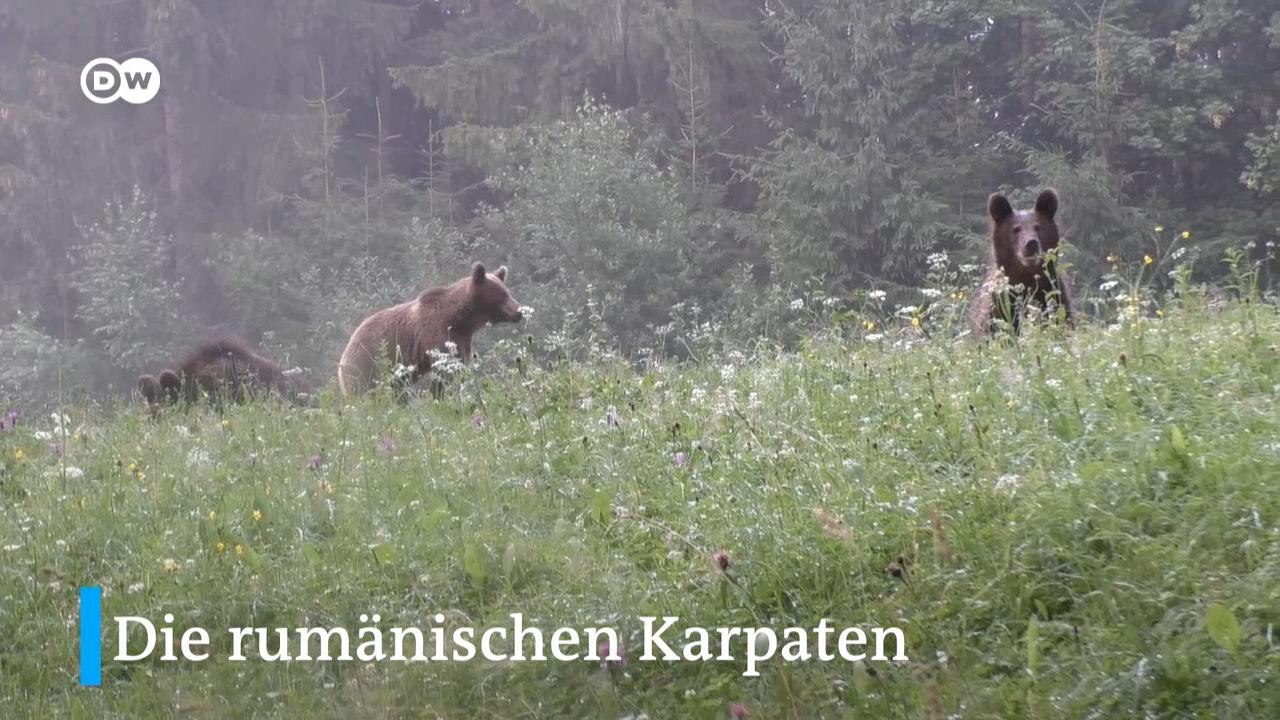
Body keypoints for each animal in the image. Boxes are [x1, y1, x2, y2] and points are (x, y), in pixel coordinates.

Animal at [337, 262, 524, 397]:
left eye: (508, 292)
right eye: (502, 295)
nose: (519, 311)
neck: (460, 319)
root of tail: (346, 350)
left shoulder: (461, 339)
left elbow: (458, 364)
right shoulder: (436, 335)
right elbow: (443, 372)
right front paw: (439, 396)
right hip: (366, 364)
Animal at [970, 188, 1074, 336]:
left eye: (1037, 227)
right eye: (1016, 229)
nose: (1031, 243)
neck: (1026, 277)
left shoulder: (1053, 295)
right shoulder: (1000, 304)